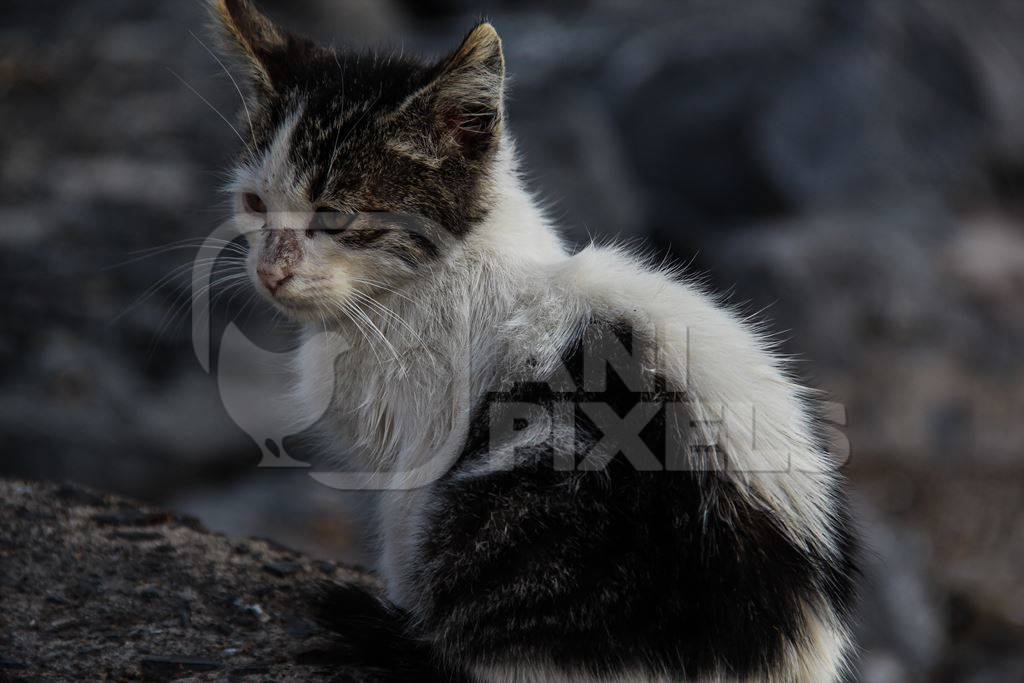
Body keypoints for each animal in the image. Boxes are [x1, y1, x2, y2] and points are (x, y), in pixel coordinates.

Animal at [211, 2, 860, 679]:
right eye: (254, 203)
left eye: (335, 216)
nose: (270, 270)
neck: (436, 277)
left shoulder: (420, 452)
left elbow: (402, 530)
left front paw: (402, 611)